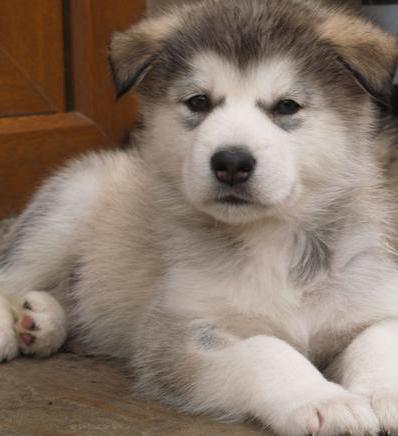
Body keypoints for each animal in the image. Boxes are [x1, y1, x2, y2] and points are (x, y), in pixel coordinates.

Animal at [0, 0, 398, 434]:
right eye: (198, 102)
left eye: (286, 106)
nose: (231, 162)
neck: (274, 241)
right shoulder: (179, 334)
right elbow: (266, 351)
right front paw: (323, 399)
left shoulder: (370, 302)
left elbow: (379, 342)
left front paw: (385, 396)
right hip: (68, 206)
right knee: (11, 272)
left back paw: (40, 322)